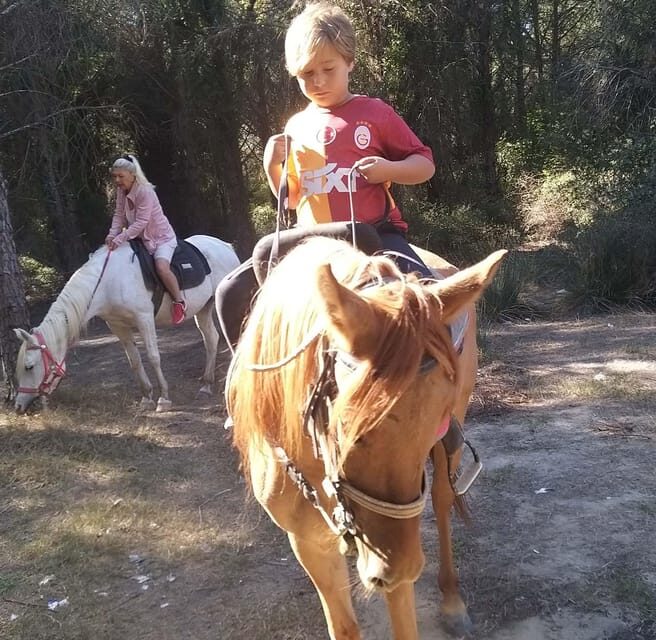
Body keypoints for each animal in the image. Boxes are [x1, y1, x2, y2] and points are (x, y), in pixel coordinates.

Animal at [14, 234, 240, 414]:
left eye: (29, 366)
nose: (18, 406)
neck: (108, 282)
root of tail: (225, 246)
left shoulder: (144, 319)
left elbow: (153, 357)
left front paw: (163, 398)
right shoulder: (117, 326)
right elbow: (134, 360)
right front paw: (146, 397)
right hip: (203, 309)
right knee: (211, 339)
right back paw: (206, 385)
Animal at [225, 236, 505, 639]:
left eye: (438, 421)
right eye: (343, 427)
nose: (399, 569)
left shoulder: (395, 547)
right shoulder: (310, 544)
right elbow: (343, 626)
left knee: (442, 499)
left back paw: (452, 601)